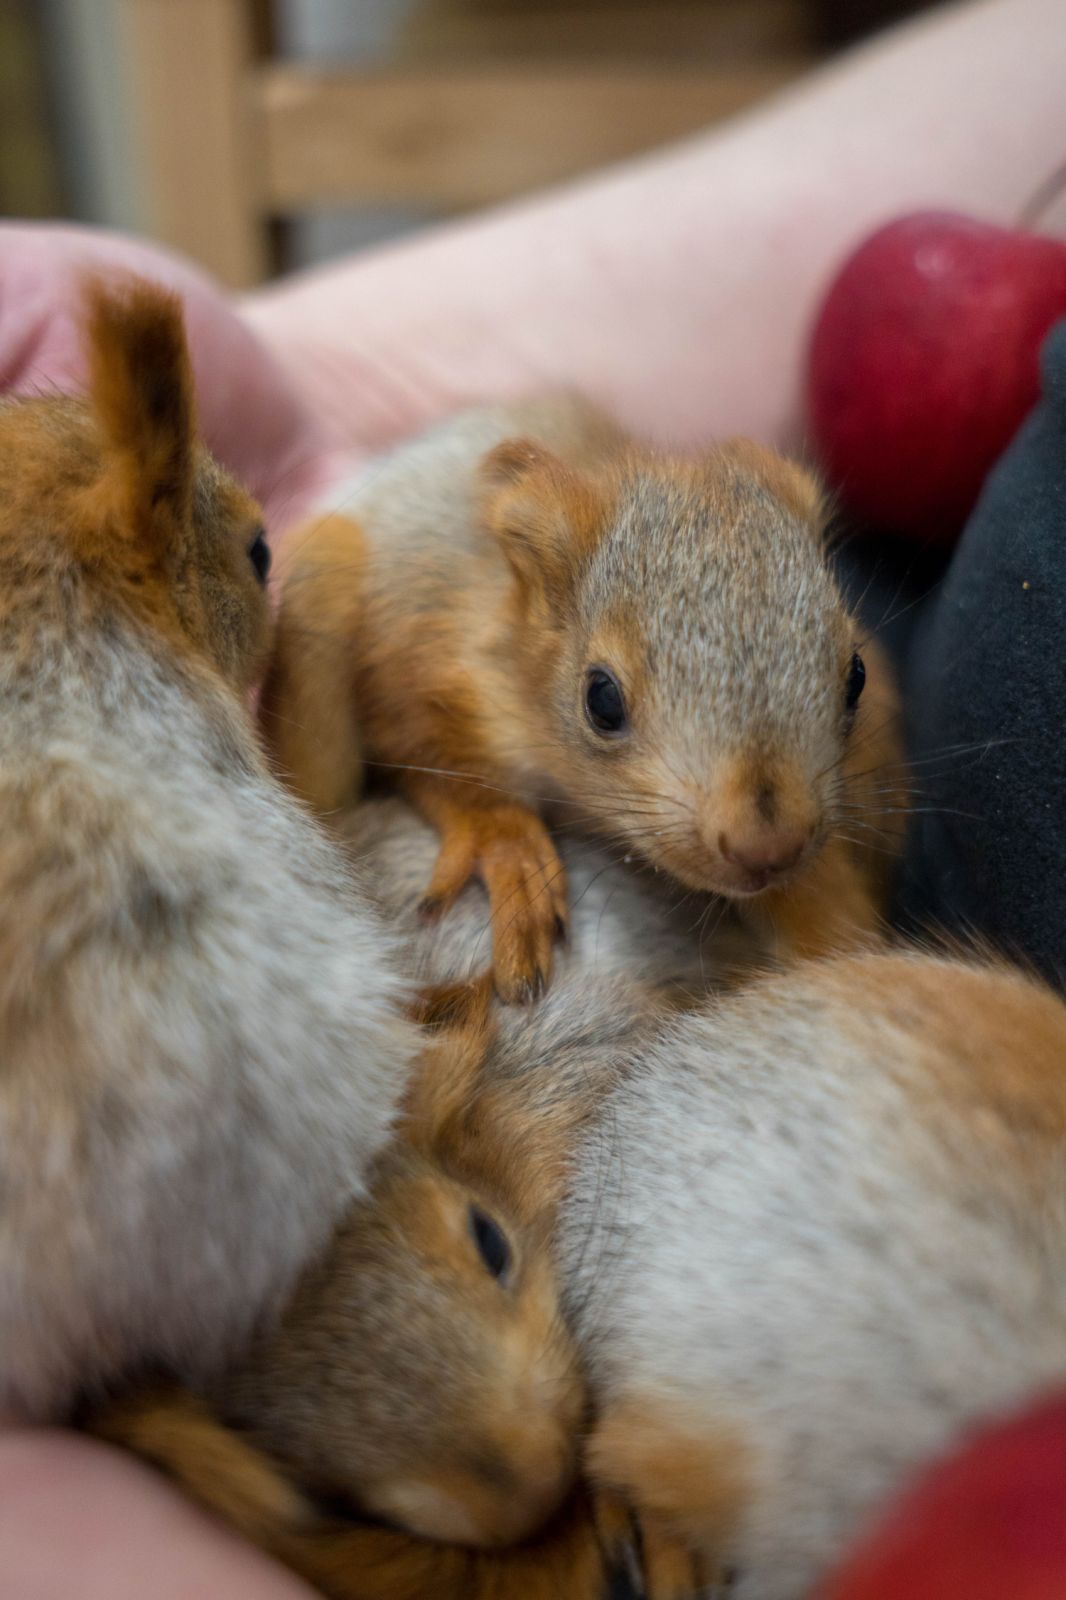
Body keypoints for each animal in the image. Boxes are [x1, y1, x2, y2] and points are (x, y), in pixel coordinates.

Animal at [260, 396, 902, 998]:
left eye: (856, 677)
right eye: (602, 700)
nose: (769, 848)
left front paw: (828, 914)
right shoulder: (416, 656)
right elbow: (431, 758)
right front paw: (506, 845)